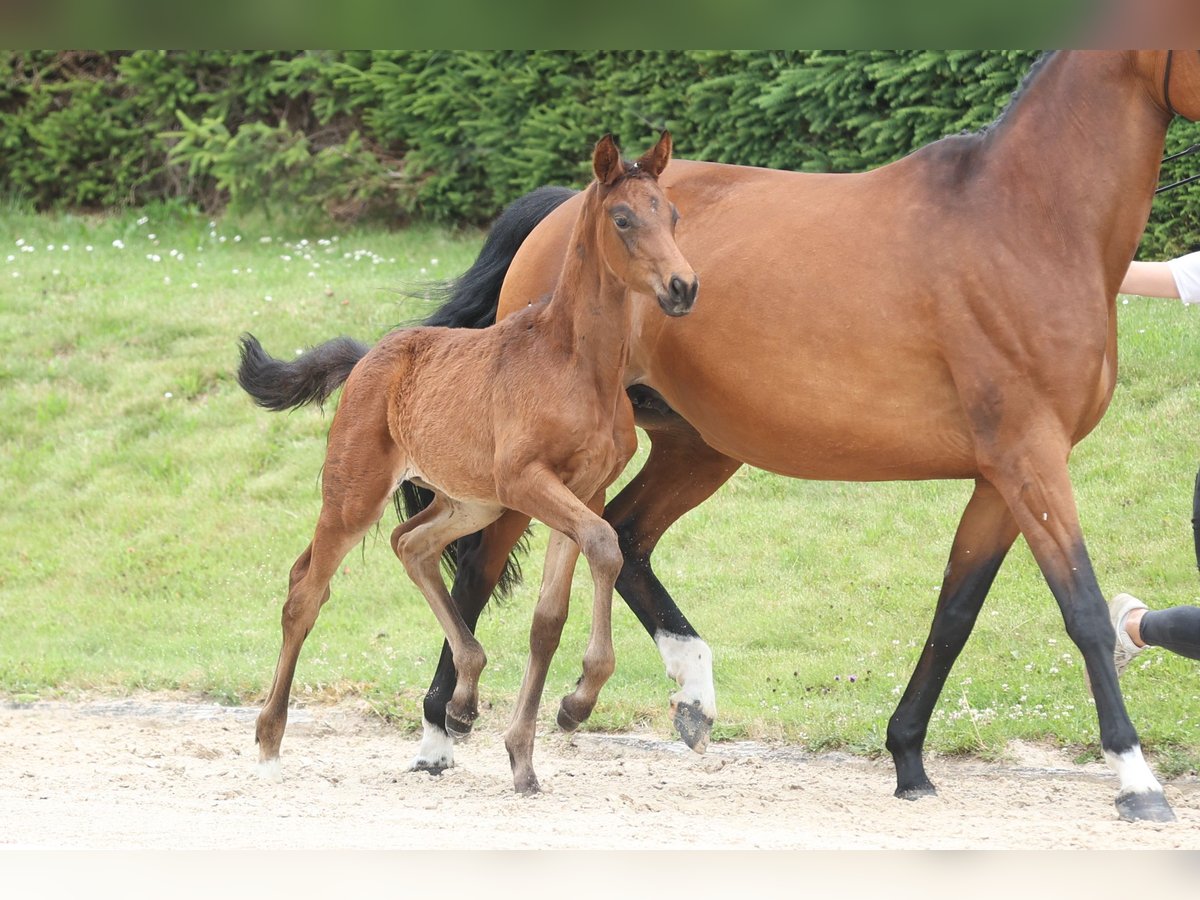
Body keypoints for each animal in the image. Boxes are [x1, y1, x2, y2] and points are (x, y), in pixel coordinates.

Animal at [238, 133, 700, 796]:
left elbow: (550, 614)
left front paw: (528, 752)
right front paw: (578, 700)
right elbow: (606, 544)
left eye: (674, 216)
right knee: (306, 589)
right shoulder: (529, 481)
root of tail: (369, 355)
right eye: (622, 218)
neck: (576, 364)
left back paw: (463, 695)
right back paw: (270, 741)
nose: (684, 286)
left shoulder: (582, 489)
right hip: (356, 494)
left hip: (470, 499)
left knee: (410, 543)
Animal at [408, 51, 1195, 825]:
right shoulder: (1031, 459)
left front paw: (908, 758)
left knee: (624, 536)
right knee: (480, 566)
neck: (1028, 223)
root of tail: (562, 209)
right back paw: (442, 732)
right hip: (540, 465)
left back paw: (689, 694)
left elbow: (956, 611)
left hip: (696, 446)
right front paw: (1136, 780)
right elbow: (1084, 611)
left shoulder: (1003, 476)